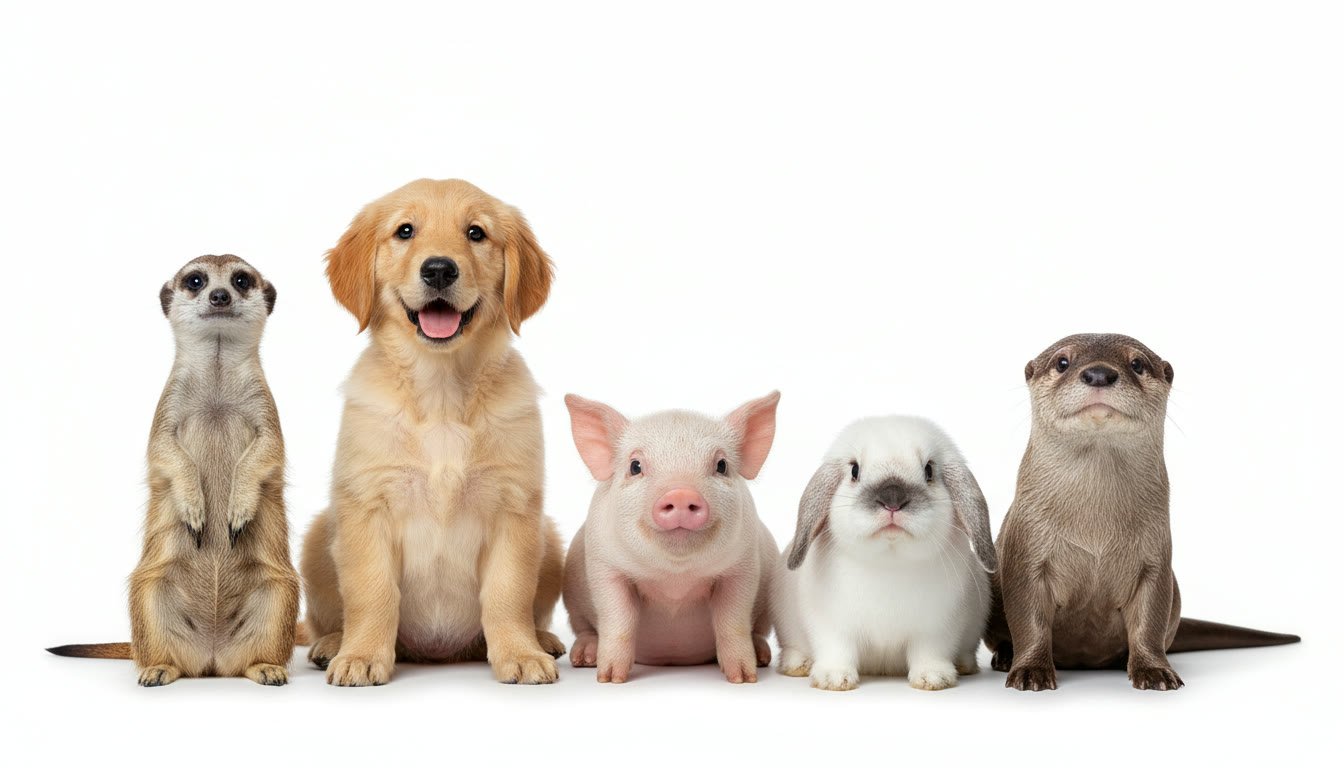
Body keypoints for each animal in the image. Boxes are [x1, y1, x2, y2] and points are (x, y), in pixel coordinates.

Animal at [561, 391, 782, 683]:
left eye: (721, 465)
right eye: (635, 466)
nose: (680, 493)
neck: (675, 579)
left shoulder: (742, 567)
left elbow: (732, 619)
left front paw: (744, 679)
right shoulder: (604, 566)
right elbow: (617, 617)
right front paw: (609, 679)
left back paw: (762, 657)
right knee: (584, 627)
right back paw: (584, 658)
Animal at [772, 416, 997, 691]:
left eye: (929, 470)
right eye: (854, 471)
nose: (892, 499)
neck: (890, 561)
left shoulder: (937, 629)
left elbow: (929, 653)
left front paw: (933, 678)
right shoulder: (832, 626)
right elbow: (837, 650)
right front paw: (833, 679)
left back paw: (965, 666)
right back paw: (797, 665)